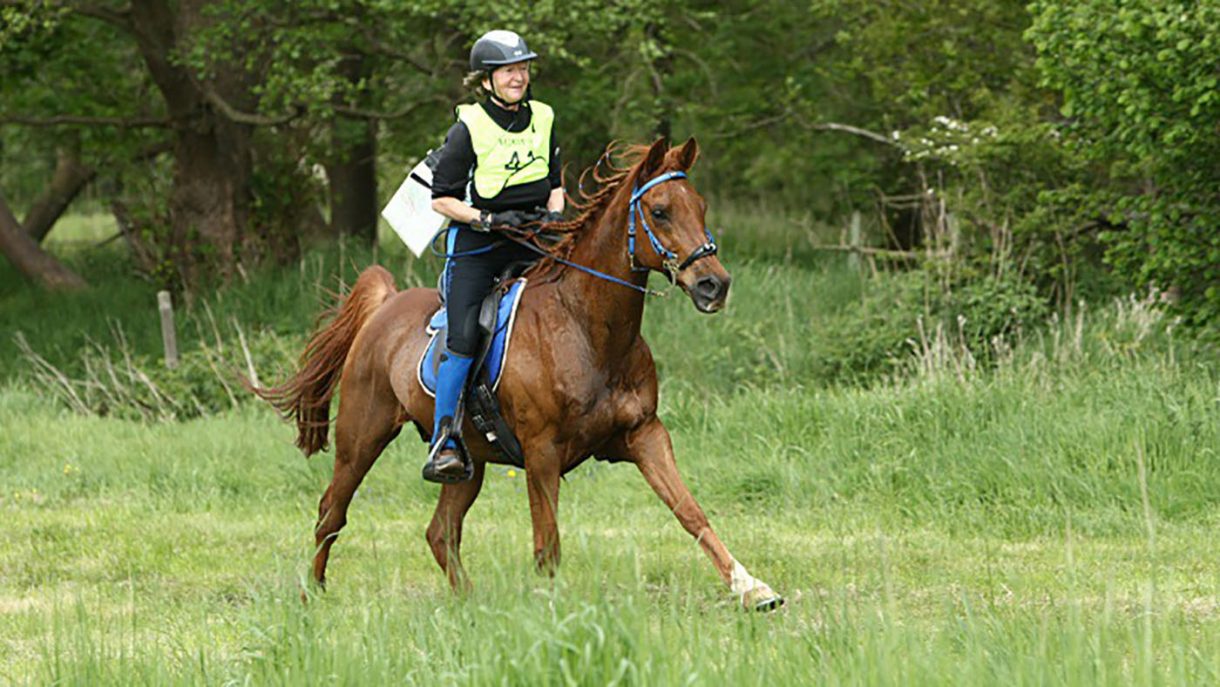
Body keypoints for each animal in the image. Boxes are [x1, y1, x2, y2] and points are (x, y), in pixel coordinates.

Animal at [259, 137, 783, 610]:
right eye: (659, 211)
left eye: (701, 206)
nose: (714, 285)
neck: (588, 328)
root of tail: (386, 305)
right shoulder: (542, 453)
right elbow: (547, 543)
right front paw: (550, 611)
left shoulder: (644, 434)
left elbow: (690, 511)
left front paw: (752, 588)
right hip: (361, 436)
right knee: (331, 512)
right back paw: (311, 594)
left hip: (465, 461)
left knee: (440, 532)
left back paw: (471, 604)